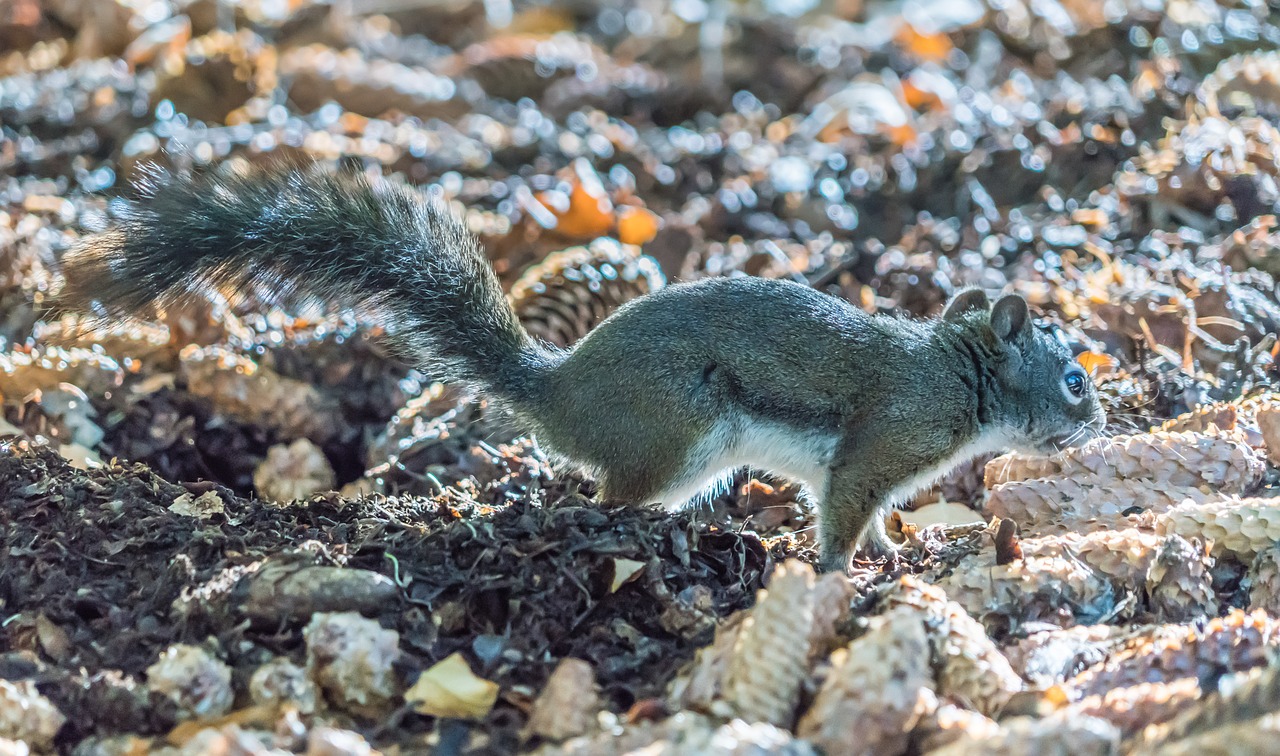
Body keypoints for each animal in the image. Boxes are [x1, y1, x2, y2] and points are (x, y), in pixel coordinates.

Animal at [62, 162, 1111, 570]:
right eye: (1073, 379)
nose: (1101, 421)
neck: (958, 374)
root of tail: (559, 391)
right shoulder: (881, 441)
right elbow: (845, 508)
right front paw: (840, 573)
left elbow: (878, 514)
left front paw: (896, 552)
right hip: (677, 438)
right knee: (608, 495)